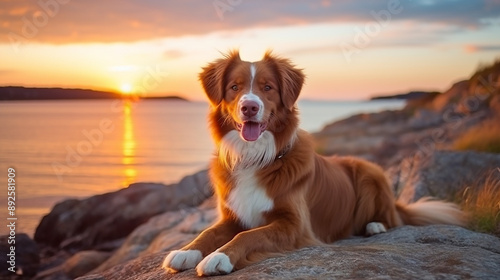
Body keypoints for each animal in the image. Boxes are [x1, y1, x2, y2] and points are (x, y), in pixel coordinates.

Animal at [162, 50, 466, 276]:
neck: (256, 157)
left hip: (370, 172)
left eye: (267, 88)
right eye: (234, 87)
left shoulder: (295, 226)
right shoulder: (233, 216)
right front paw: (186, 251)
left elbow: (248, 236)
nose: (249, 107)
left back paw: (375, 226)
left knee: (393, 219)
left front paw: (220, 258)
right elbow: (208, 232)